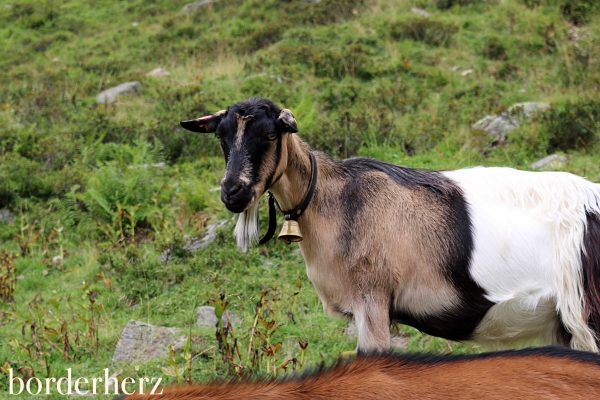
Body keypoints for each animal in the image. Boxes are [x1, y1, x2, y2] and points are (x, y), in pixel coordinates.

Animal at [180, 97, 600, 354]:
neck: (336, 200)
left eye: (270, 135)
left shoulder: (372, 298)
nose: (232, 192)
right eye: (221, 138)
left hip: (587, 313)